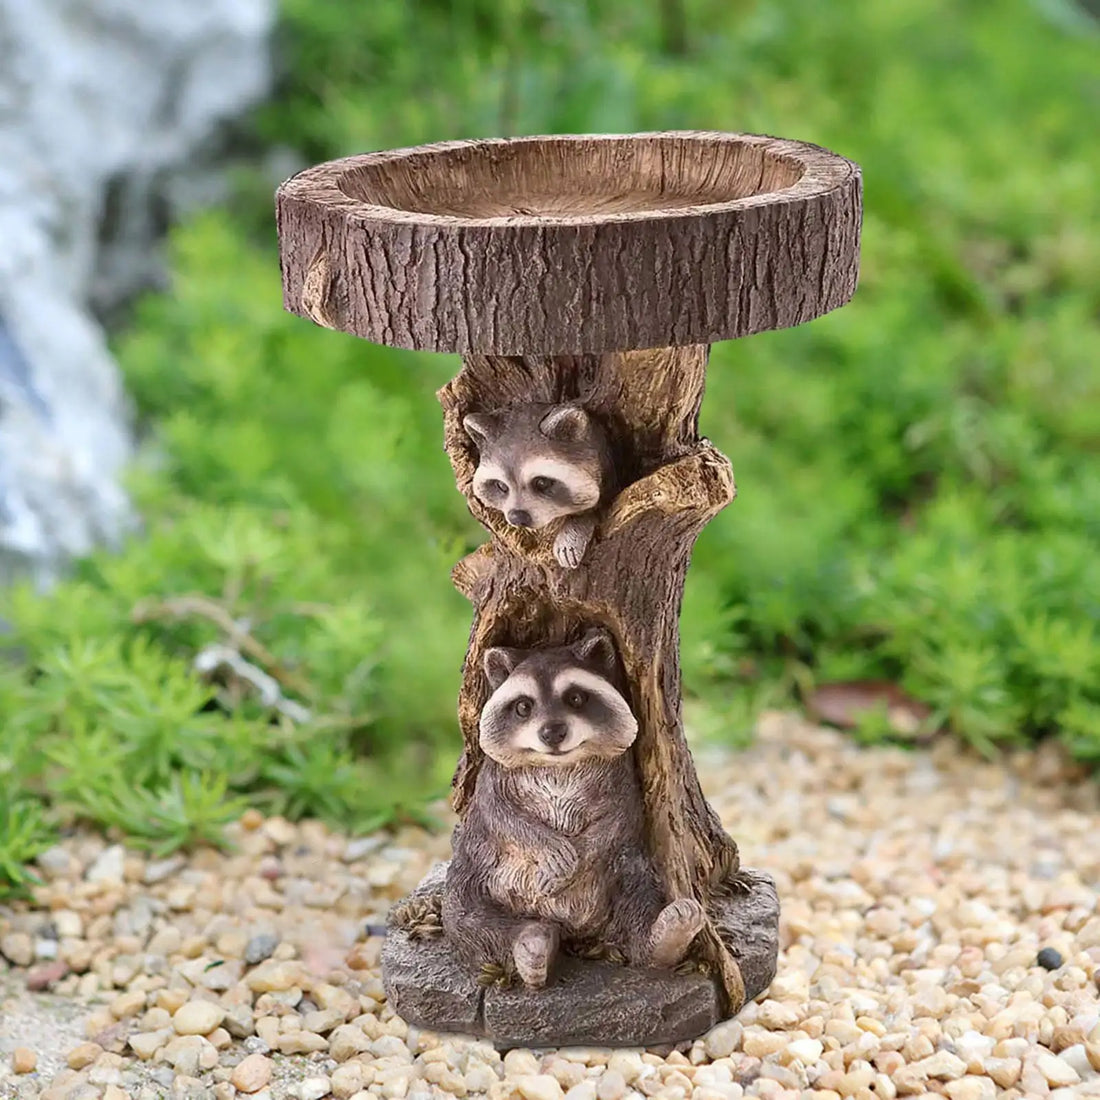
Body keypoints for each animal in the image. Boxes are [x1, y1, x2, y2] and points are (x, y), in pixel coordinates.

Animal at [442, 627, 706, 989]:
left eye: (576, 698)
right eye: (523, 706)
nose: (552, 732)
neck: (559, 764)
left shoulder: (622, 775)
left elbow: (618, 818)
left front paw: (579, 854)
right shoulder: (492, 775)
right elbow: (499, 816)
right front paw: (548, 846)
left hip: (625, 871)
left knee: (637, 898)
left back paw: (663, 936)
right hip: (476, 872)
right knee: (466, 915)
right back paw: (531, 943)